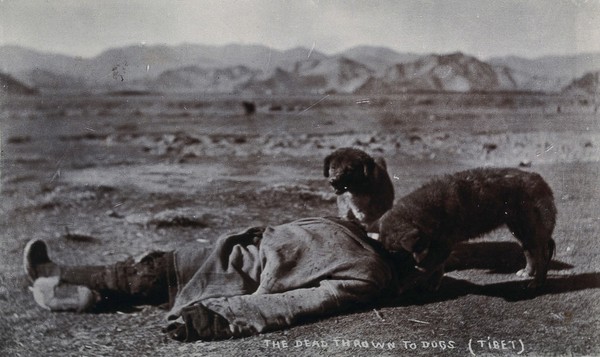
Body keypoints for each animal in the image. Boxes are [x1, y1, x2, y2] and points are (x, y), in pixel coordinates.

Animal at [380, 167, 556, 290]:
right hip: (519, 228)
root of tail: (541, 181)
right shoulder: (439, 245)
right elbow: (436, 266)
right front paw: (433, 283)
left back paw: (537, 282)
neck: (429, 209)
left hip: (530, 228)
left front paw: (403, 284)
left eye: (395, 252)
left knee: (541, 255)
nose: (389, 272)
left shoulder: (443, 245)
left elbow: (422, 268)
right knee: (530, 252)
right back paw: (527, 272)